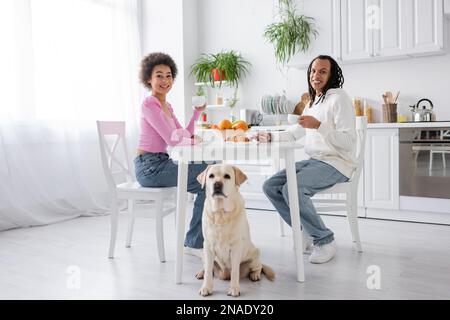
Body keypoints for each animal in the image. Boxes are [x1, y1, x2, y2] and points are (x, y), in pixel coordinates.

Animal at [196, 165, 274, 298]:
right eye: (211, 176)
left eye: (227, 176)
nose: (217, 184)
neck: (221, 212)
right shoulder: (208, 246)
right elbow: (208, 271)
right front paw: (206, 287)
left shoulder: (236, 247)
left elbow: (235, 272)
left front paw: (234, 288)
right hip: (203, 254)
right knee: (208, 268)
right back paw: (201, 272)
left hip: (255, 256)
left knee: (258, 267)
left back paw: (255, 275)